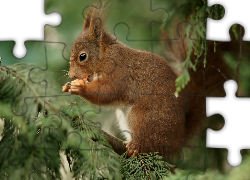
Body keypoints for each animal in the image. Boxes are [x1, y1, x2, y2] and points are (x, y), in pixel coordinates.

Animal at [62, 2, 232, 158]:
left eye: (82, 56)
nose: (71, 75)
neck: (106, 55)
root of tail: (177, 142)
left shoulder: (118, 73)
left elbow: (107, 92)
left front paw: (80, 88)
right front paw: (68, 86)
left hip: (142, 118)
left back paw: (135, 147)